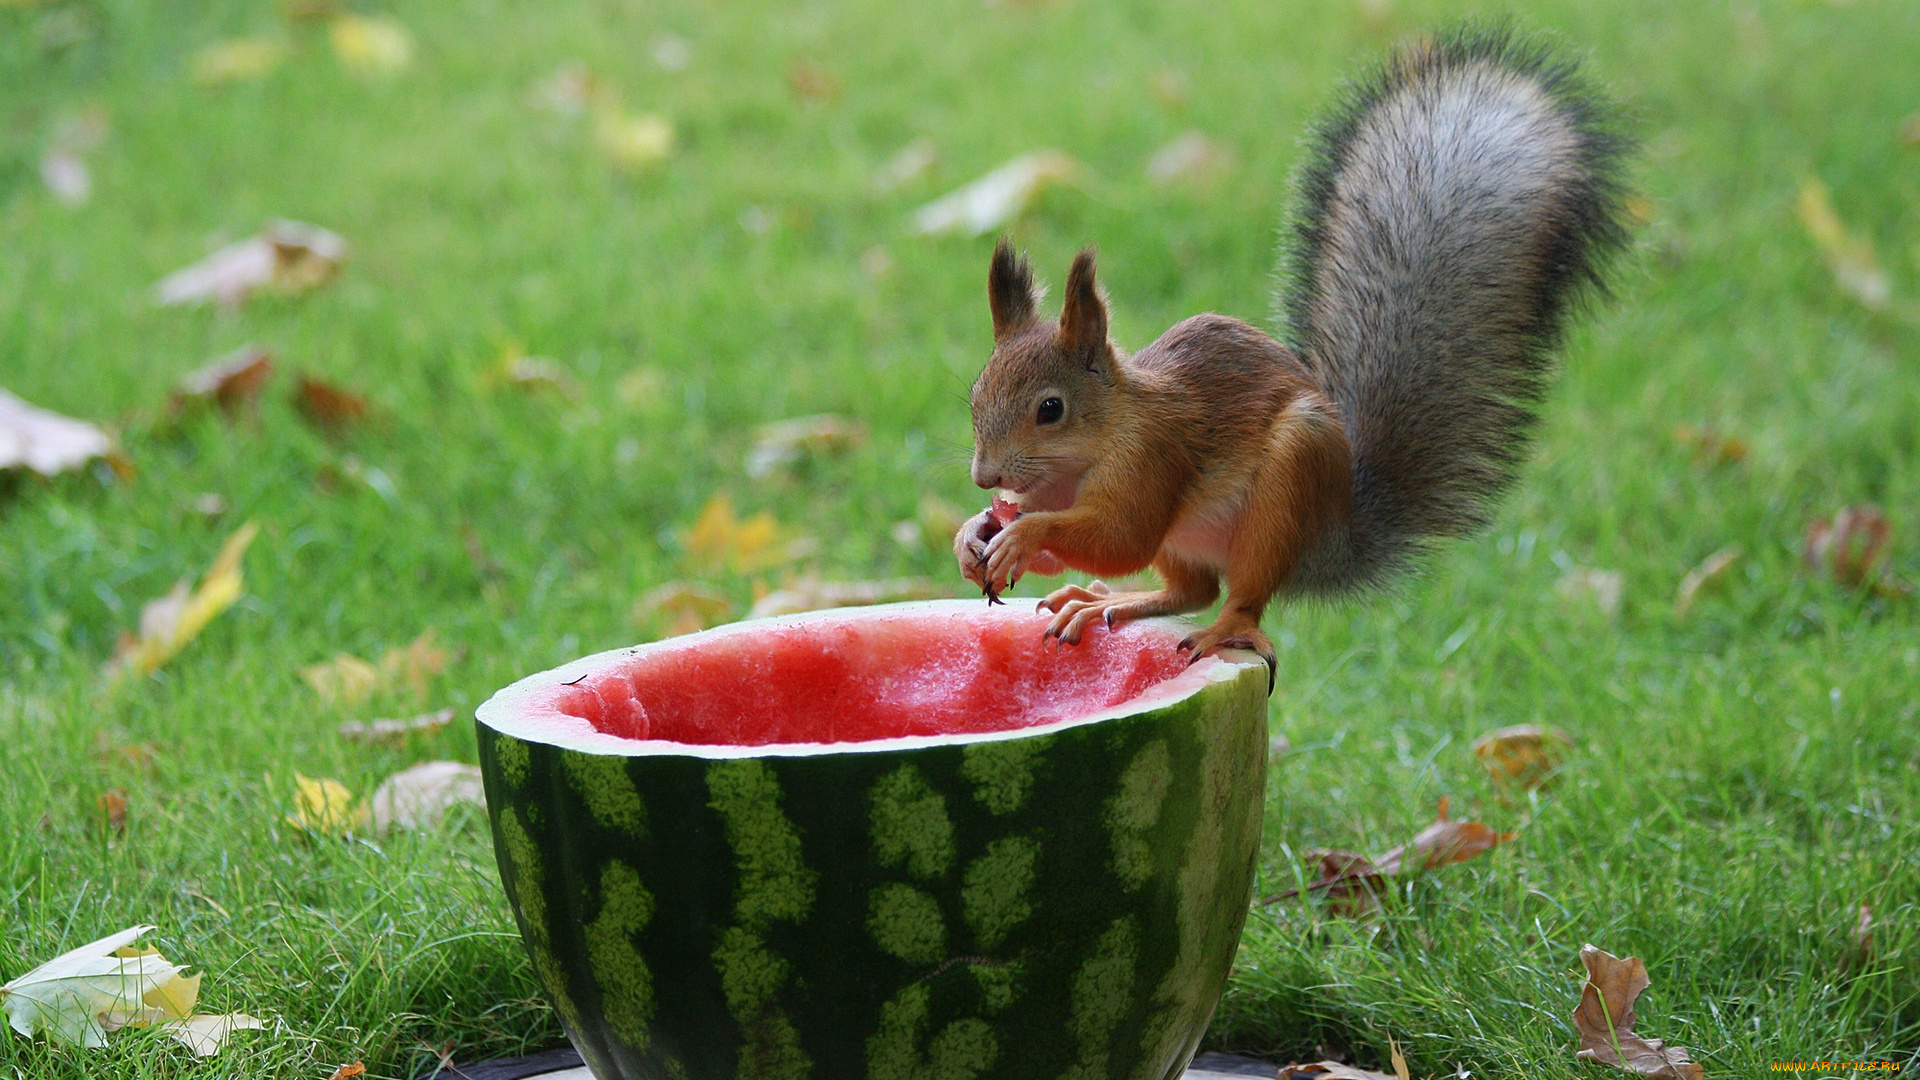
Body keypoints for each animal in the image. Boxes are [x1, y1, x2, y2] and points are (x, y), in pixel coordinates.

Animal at [952, 27, 1628, 687]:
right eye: (976, 397)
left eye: (1050, 409)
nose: (985, 477)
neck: (1088, 450)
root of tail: (1331, 536)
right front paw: (975, 532)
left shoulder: (1153, 459)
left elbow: (1122, 538)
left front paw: (1024, 533)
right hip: (1194, 539)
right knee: (1191, 590)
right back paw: (1104, 603)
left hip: (1283, 494)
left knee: (1238, 594)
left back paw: (1223, 630)